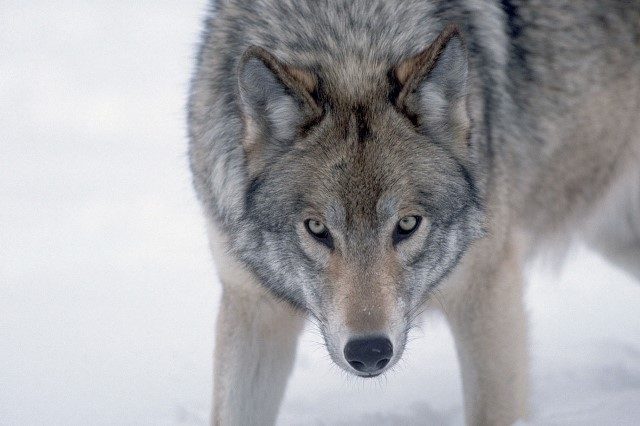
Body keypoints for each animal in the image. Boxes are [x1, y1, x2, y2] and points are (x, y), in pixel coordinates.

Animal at [187, 0, 640, 424]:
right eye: (317, 228)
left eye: (407, 224)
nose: (370, 351)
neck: (349, 40)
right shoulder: (253, 308)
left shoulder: (486, 292)